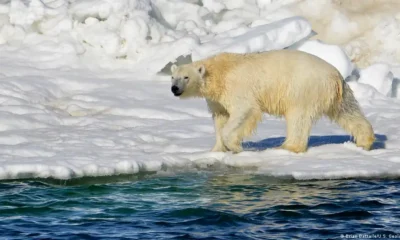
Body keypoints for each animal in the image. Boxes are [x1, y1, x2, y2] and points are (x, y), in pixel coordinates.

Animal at [170, 49, 376, 153]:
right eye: (173, 77)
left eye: (186, 77)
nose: (174, 89)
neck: (219, 72)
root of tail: (335, 75)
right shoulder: (217, 99)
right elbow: (220, 118)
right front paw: (217, 149)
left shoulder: (236, 87)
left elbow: (244, 111)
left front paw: (234, 146)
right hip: (337, 94)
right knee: (347, 111)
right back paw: (364, 141)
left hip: (303, 88)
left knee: (298, 117)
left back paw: (287, 146)